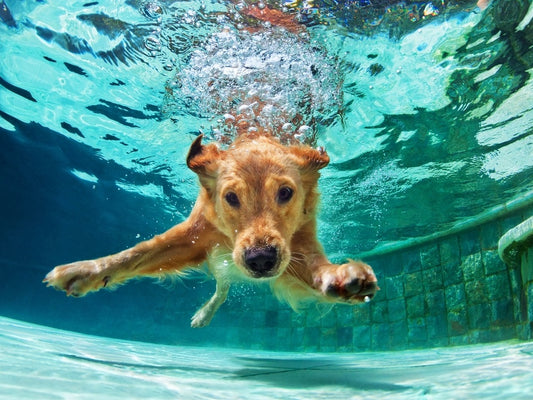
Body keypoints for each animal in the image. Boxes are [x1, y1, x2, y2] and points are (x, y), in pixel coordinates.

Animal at [45, 130, 378, 326]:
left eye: (285, 192)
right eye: (230, 197)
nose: (260, 260)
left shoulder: (298, 245)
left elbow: (317, 267)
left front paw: (342, 277)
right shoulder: (194, 235)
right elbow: (137, 253)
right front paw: (86, 271)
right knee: (222, 287)